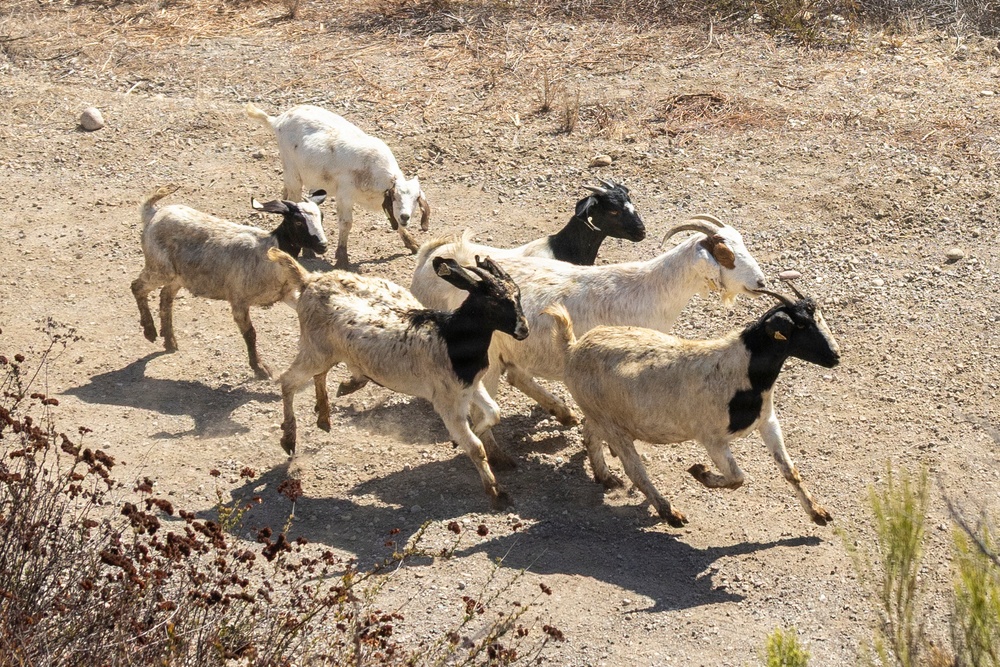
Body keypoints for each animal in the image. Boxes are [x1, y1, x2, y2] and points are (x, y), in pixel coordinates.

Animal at [130, 185, 328, 379]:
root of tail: (153, 212)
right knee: (137, 287)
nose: (323, 245)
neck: (269, 251)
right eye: (298, 222)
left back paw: (169, 340)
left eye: (322, 217)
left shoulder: (287, 293)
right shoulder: (239, 300)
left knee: (165, 297)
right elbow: (250, 334)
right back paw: (150, 331)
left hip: (178, 276)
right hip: (159, 268)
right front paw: (260, 368)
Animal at [247, 103, 429, 268]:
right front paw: (342, 258)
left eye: (416, 199)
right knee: (295, 198)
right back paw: (308, 250)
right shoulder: (345, 195)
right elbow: (346, 223)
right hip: (292, 170)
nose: (406, 216)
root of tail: (278, 120)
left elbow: (395, 219)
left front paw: (412, 244)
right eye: (395, 196)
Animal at [270, 249, 528, 508]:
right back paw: (289, 438)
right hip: (315, 350)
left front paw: (470, 434)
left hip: (324, 351)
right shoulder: (448, 401)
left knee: (319, 374)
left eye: (518, 295)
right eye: (495, 301)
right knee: (288, 380)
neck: (450, 336)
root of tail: (309, 280)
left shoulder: (471, 386)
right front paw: (497, 493)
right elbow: (476, 447)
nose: (523, 330)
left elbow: (494, 412)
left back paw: (327, 410)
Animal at [412, 214, 767, 468]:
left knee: (515, 377)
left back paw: (562, 413)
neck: (648, 290)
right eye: (725, 254)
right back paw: (501, 458)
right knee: (481, 406)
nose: (761, 283)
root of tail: (438, 257)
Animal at [547, 284, 840, 527]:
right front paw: (700, 472)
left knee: (589, 434)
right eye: (800, 326)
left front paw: (818, 513)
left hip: (600, 414)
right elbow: (737, 478)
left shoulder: (767, 420)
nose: (835, 356)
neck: (743, 370)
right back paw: (669, 513)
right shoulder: (712, 438)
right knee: (635, 470)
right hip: (611, 424)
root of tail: (572, 349)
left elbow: (790, 471)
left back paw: (604, 476)